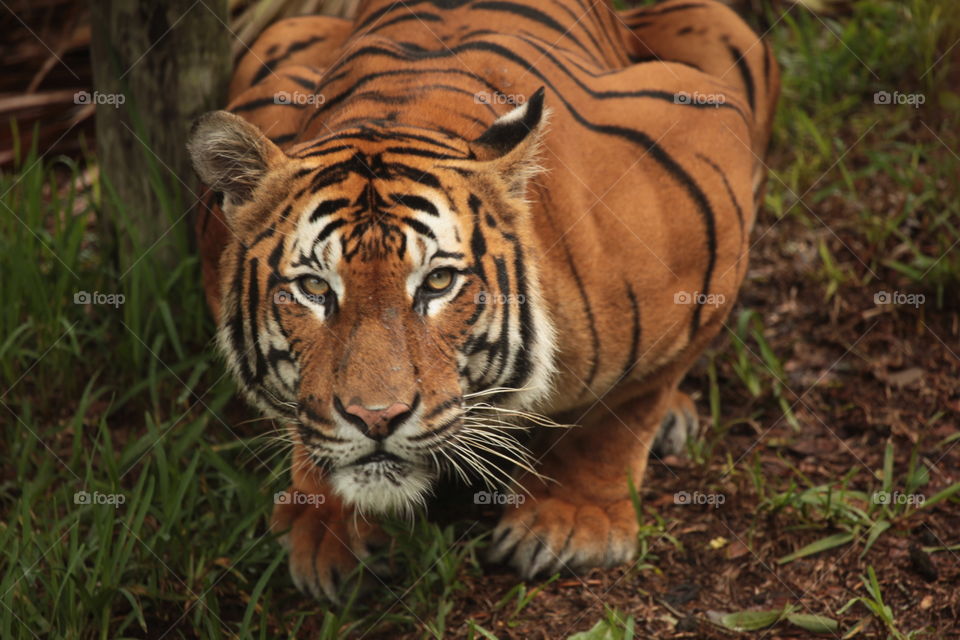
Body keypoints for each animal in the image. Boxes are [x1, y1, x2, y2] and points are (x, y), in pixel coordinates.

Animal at [189, 0, 780, 600]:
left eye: (437, 282)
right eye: (314, 288)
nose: (376, 419)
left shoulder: (704, 161)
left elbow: (623, 408)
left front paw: (572, 521)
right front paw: (327, 522)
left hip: (719, 29)